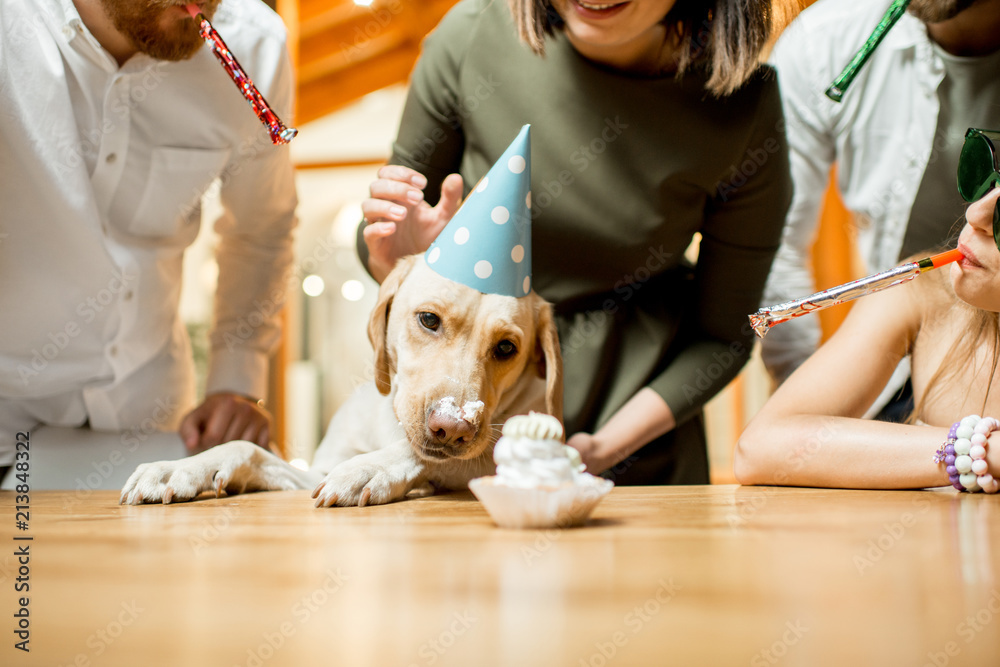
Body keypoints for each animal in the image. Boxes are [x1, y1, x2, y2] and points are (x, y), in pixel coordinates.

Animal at [117, 256, 564, 506]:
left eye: (506, 348)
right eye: (428, 319)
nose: (452, 429)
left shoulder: (490, 452)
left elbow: (428, 456)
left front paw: (369, 470)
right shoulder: (313, 472)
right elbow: (247, 449)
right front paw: (180, 469)